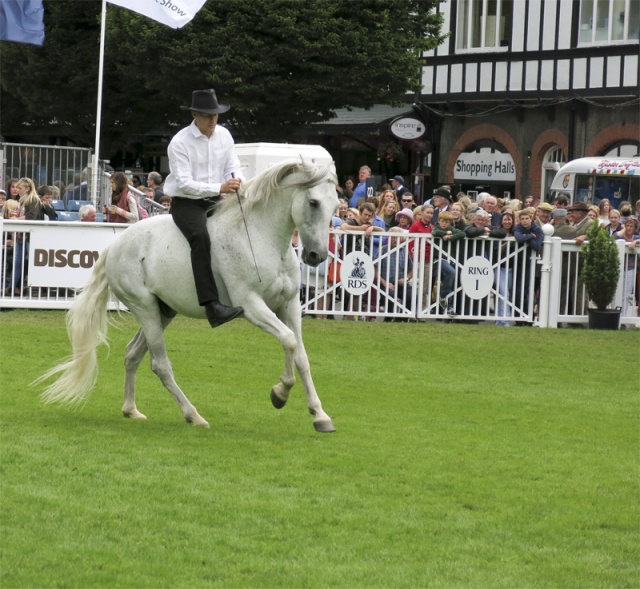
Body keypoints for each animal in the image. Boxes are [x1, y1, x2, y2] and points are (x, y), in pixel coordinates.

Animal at [37, 159, 339, 433]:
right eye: (313, 202)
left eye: (335, 206)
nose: (316, 256)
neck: (261, 238)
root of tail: (115, 245)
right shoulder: (252, 305)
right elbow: (288, 341)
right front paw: (280, 393)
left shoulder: (289, 306)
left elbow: (300, 354)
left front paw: (320, 415)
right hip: (146, 309)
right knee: (160, 364)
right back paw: (193, 416)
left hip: (163, 312)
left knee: (132, 354)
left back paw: (131, 410)